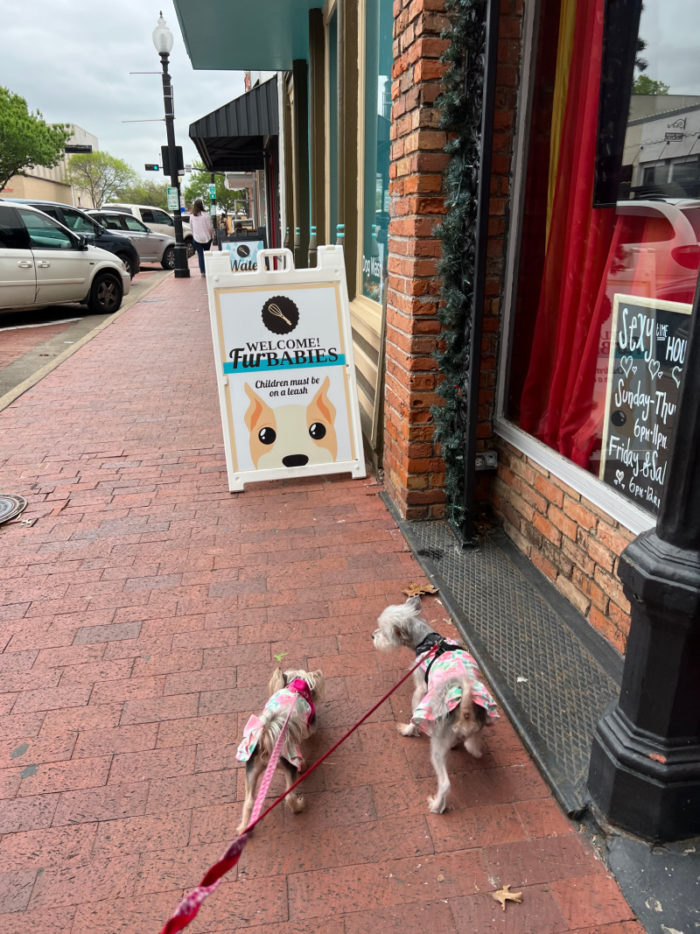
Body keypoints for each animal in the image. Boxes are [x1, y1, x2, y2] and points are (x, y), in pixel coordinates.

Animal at [372, 600, 498, 812]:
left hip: (437, 746)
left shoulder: (421, 689)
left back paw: (437, 806)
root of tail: (465, 711)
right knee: (472, 744)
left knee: (445, 783)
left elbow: (413, 713)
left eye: (383, 632)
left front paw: (408, 730)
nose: (372, 636)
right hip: (476, 727)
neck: (428, 640)